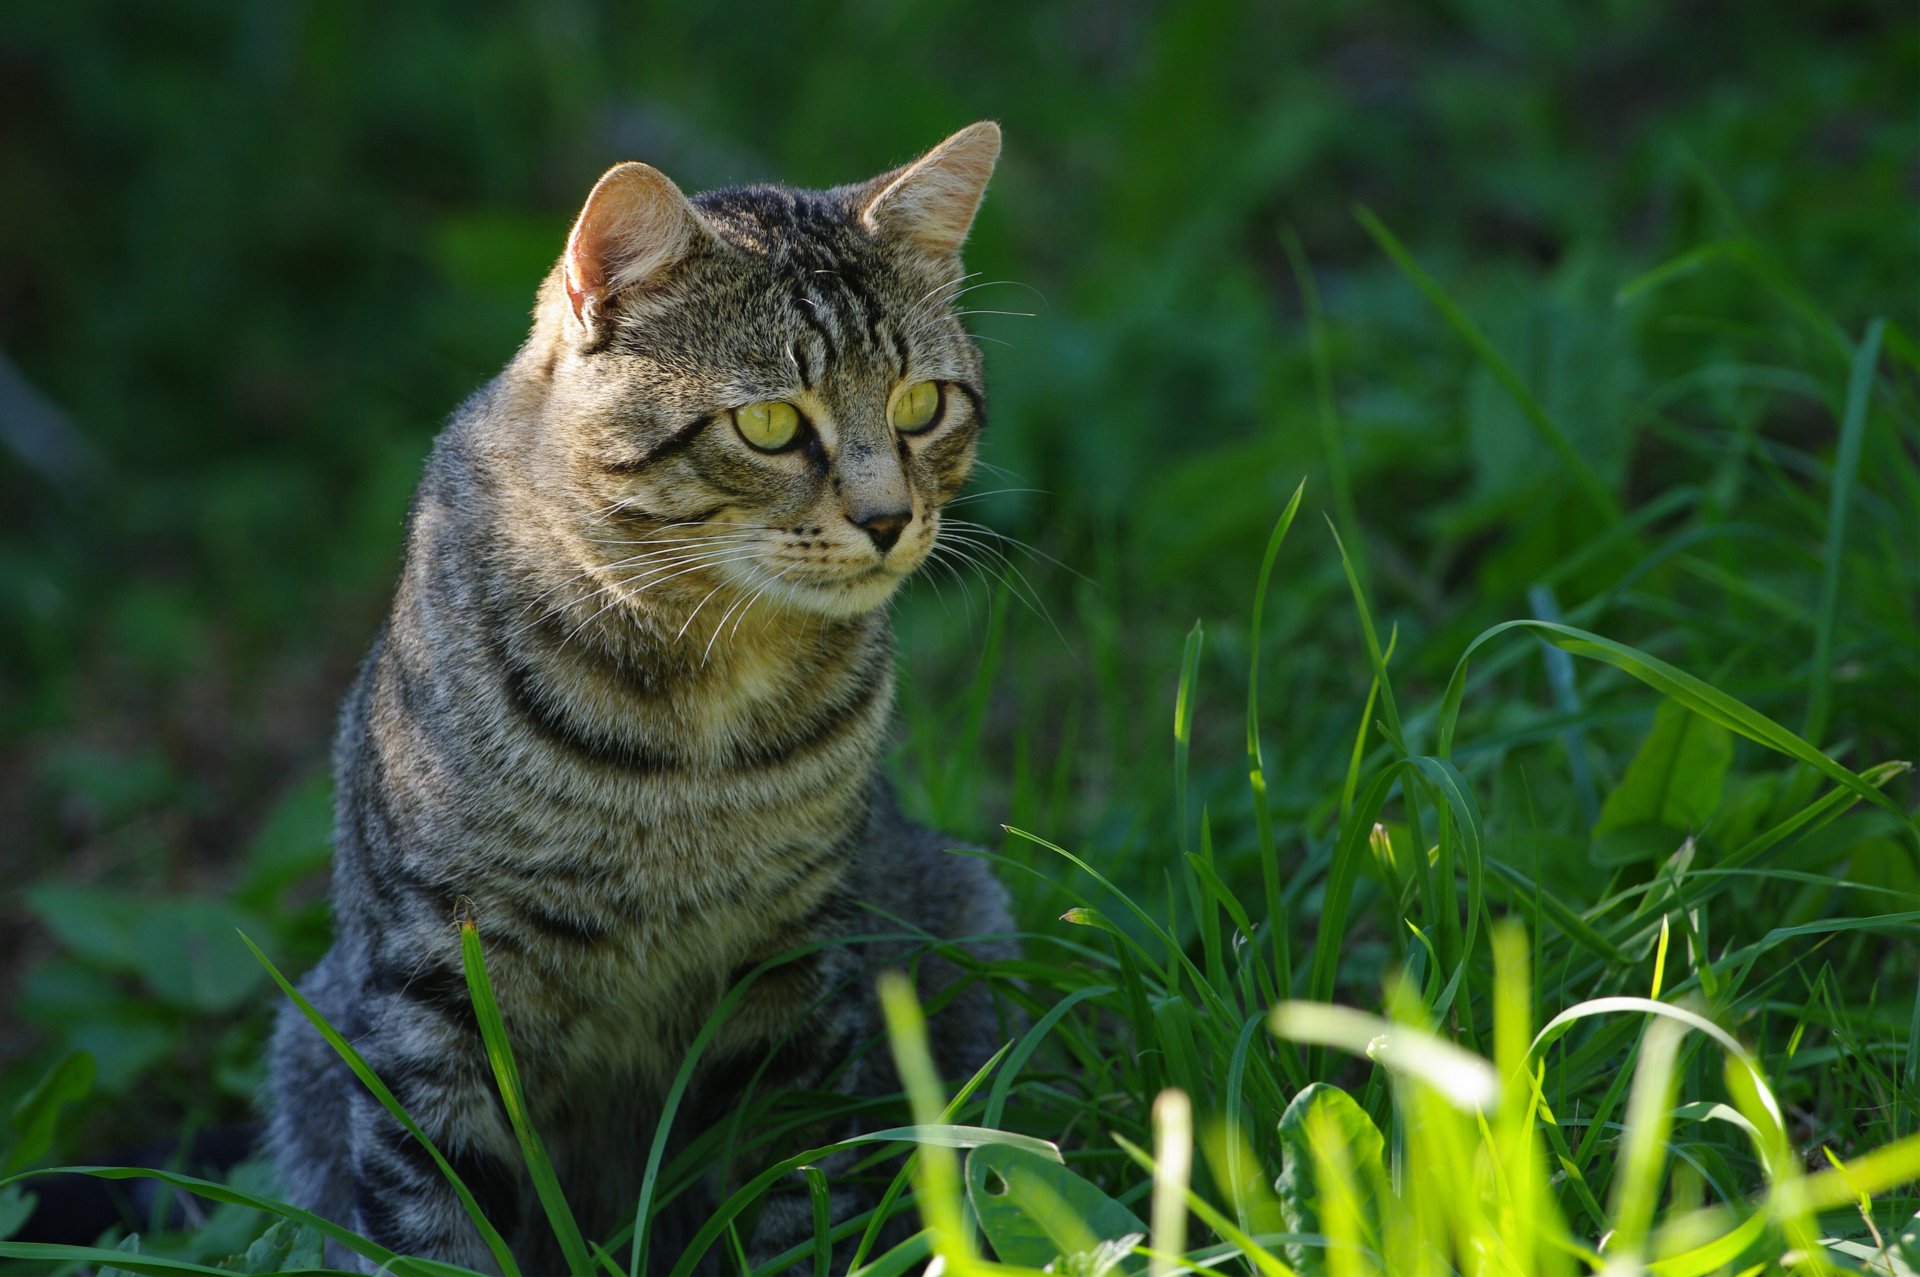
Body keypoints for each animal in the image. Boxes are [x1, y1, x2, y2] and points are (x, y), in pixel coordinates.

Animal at [270, 121, 1029, 1275]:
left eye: (920, 405)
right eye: (770, 423)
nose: (890, 518)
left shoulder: (792, 964)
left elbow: (788, 1184)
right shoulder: (432, 982)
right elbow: (434, 1214)